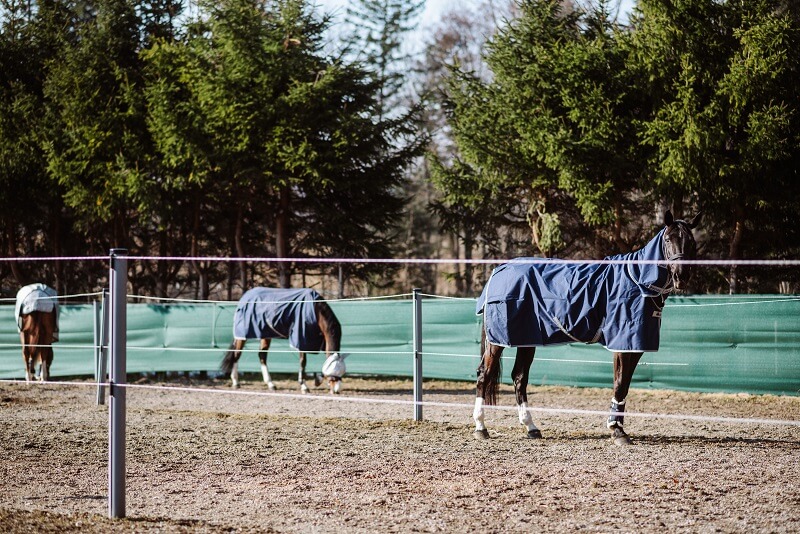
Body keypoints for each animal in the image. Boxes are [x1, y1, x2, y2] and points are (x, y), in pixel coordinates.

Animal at [476, 211, 700, 446]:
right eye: (668, 239)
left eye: (692, 243)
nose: (681, 276)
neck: (637, 281)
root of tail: (500, 269)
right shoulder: (621, 344)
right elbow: (620, 383)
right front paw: (617, 431)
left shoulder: (635, 346)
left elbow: (625, 386)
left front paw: (618, 426)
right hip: (497, 341)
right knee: (485, 374)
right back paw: (481, 427)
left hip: (527, 339)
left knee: (519, 378)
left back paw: (531, 427)